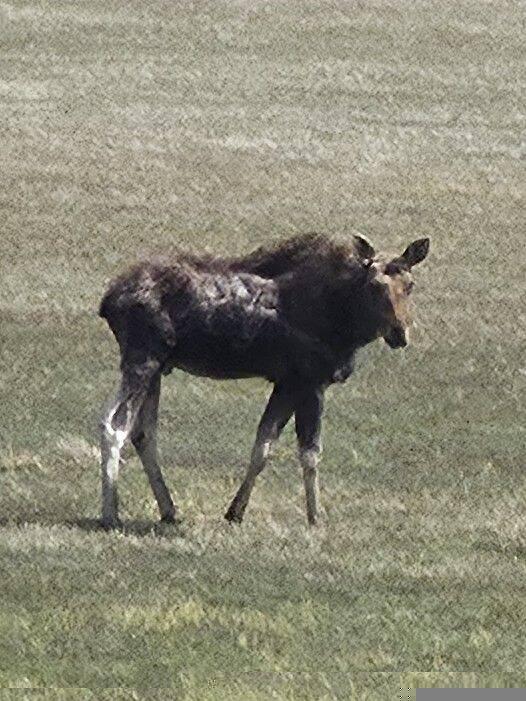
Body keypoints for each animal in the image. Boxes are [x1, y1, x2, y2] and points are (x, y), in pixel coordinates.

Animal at [98, 232, 429, 529]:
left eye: (410, 285)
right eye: (374, 285)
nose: (400, 333)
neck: (346, 323)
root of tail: (107, 301)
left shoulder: (286, 383)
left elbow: (263, 446)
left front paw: (235, 512)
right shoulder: (310, 382)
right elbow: (310, 453)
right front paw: (315, 517)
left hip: (157, 368)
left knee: (144, 434)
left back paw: (168, 510)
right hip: (142, 358)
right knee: (113, 426)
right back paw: (110, 513)